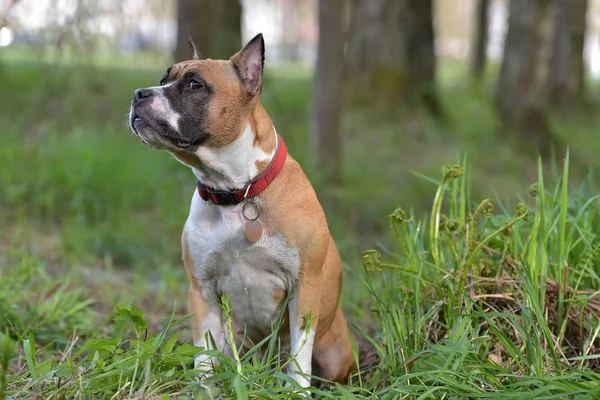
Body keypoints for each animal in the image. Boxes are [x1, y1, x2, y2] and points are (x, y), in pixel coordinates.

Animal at [129, 33, 372, 388]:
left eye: (194, 85)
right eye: (163, 80)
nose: (139, 94)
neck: (236, 191)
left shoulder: (304, 288)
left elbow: (300, 357)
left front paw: (298, 391)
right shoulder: (201, 290)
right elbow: (204, 352)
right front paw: (205, 388)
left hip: (335, 353)